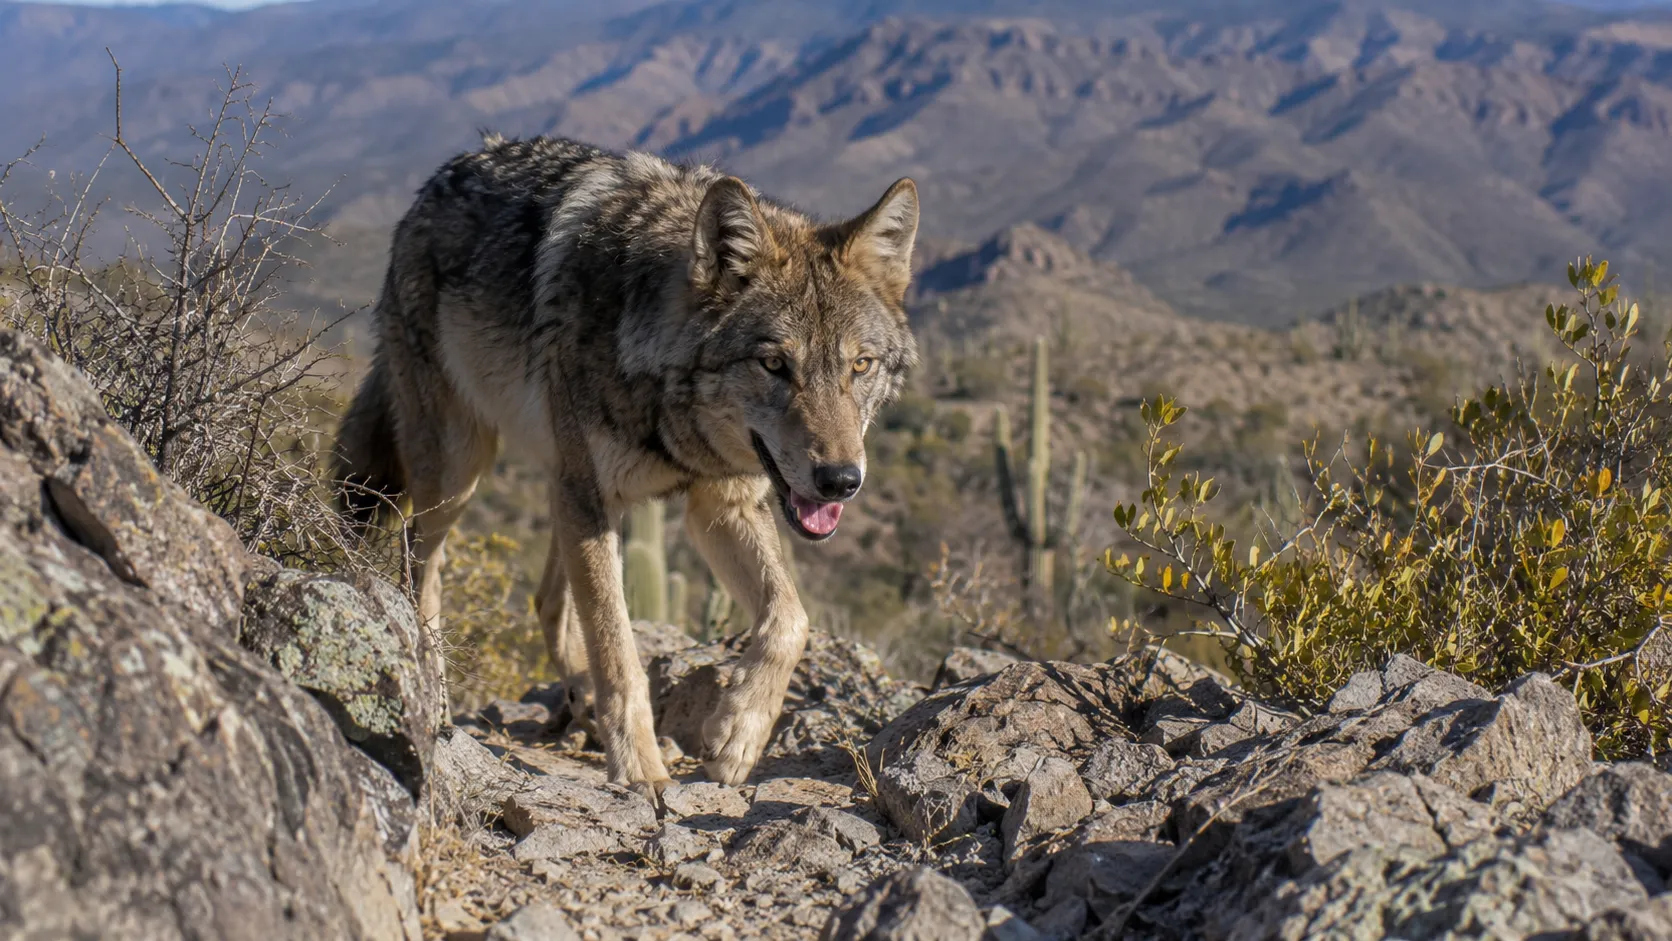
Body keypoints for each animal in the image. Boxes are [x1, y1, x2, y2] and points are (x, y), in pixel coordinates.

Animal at [332, 134, 919, 798]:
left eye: (860, 365)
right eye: (774, 364)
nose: (841, 481)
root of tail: (441, 176)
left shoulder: (718, 505)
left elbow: (790, 620)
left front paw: (737, 735)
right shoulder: (594, 499)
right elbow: (619, 653)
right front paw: (641, 768)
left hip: (561, 484)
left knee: (549, 602)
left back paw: (580, 704)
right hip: (464, 472)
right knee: (419, 568)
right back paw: (435, 699)